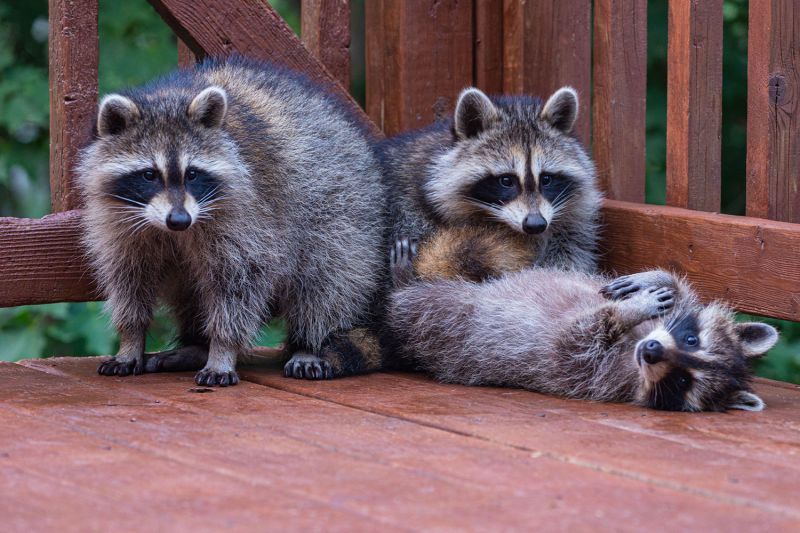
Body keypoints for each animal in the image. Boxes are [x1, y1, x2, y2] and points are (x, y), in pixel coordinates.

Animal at [77, 57, 387, 386]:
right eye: (149, 175)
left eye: (192, 174)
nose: (179, 220)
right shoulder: (120, 223)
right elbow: (129, 280)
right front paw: (131, 338)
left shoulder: (250, 215)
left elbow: (239, 283)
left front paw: (222, 349)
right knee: (192, 290)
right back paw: (196, 346)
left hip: (342, 211)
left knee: (326, 281)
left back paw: (308, 343)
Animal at [378, 85, 602, 281]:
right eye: (506, 181)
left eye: (546, 179)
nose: (535, 224)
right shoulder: (410, 211)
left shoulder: (573, 224)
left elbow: (569, 254)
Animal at [387, 257, 777, 412]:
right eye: (692, 340)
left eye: (683, 382)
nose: (651, 350)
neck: (634, 345)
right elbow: (680, 290)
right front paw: (655, 282)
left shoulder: (588, 374)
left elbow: (576, 337)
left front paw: (622, 313)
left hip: (444, 324)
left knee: (416, 304)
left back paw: (403, 281)